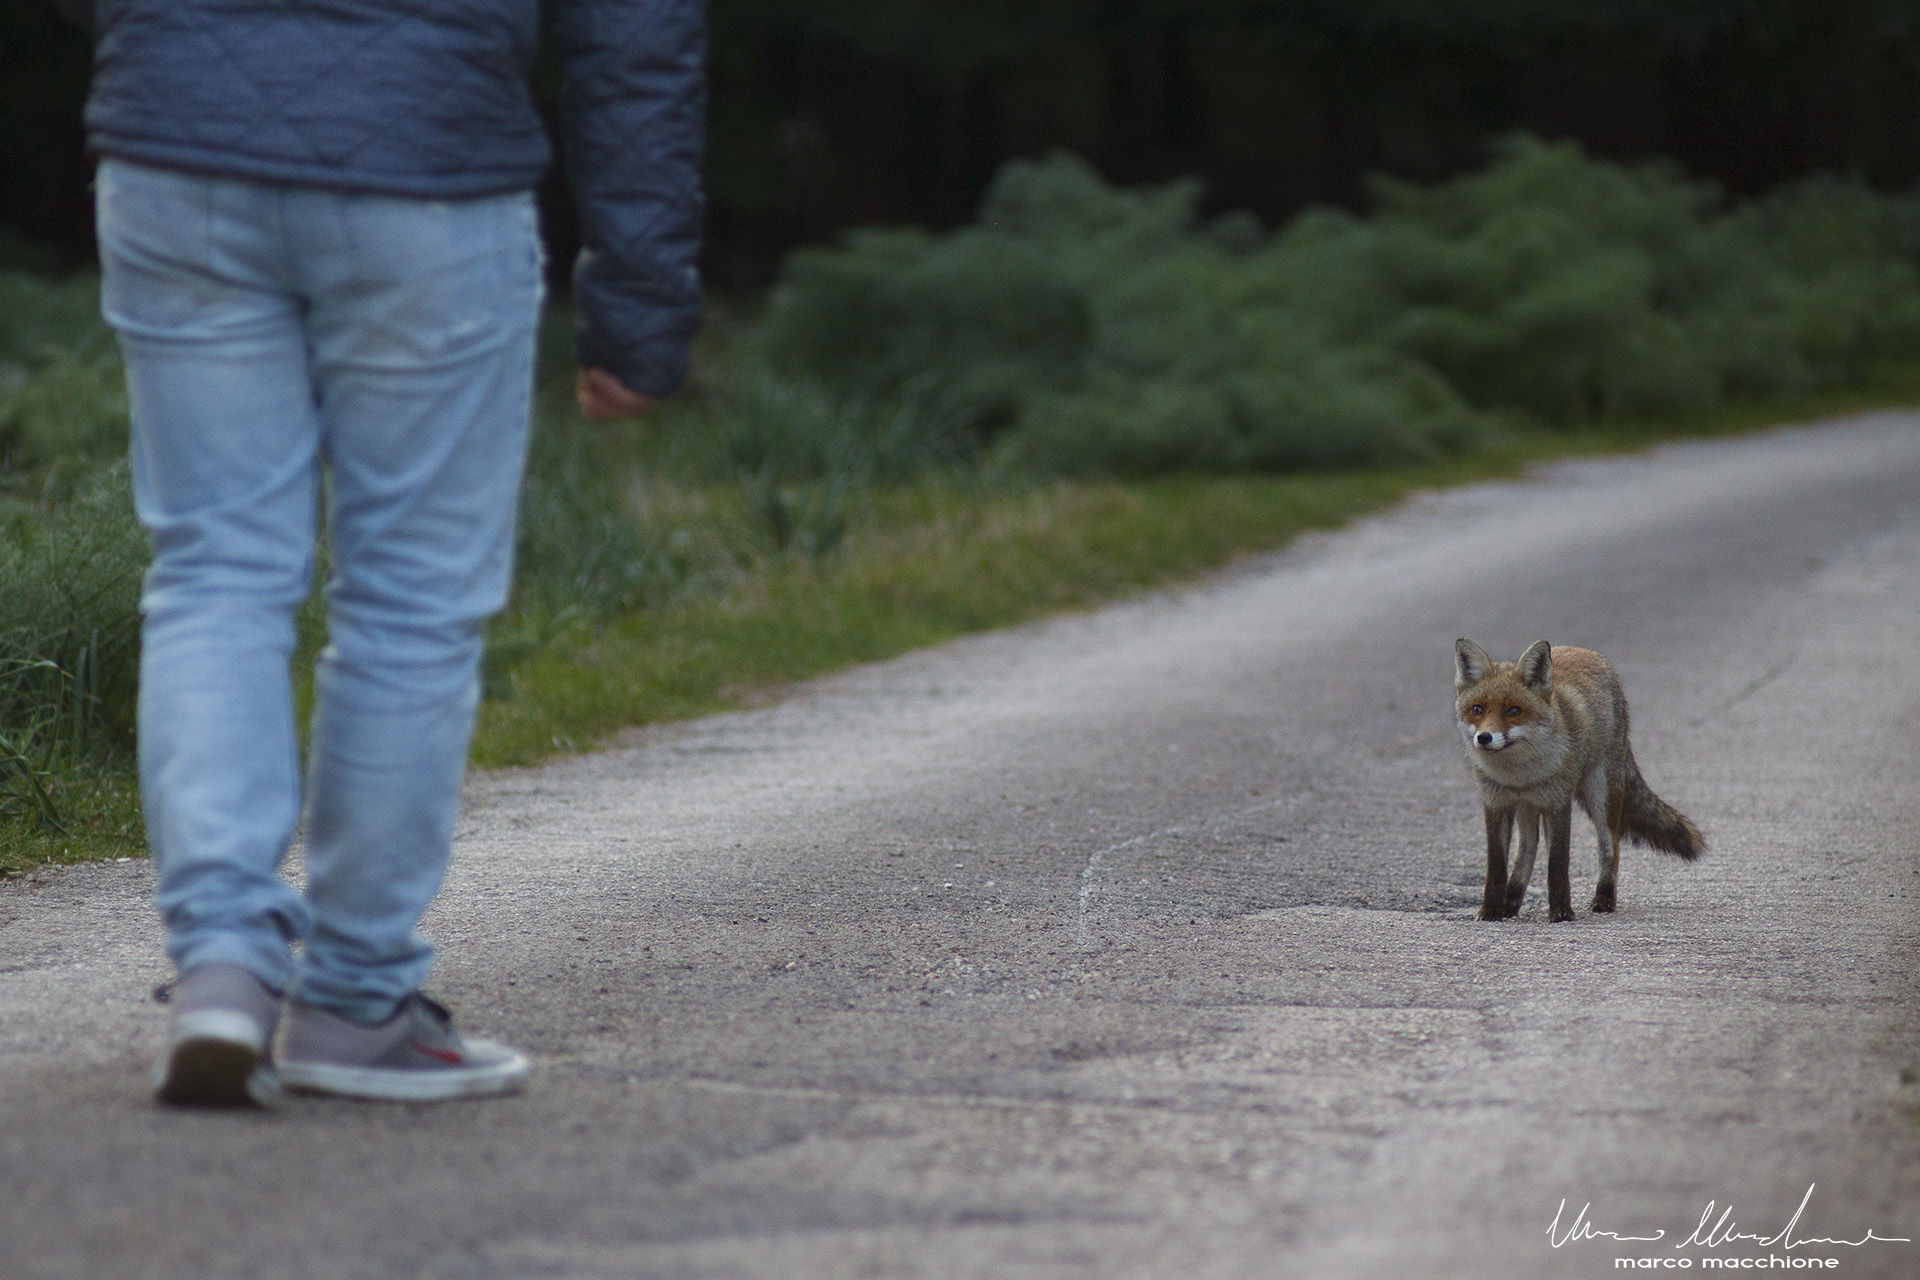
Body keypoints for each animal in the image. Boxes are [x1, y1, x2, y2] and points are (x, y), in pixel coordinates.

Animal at [1454, 639, 1703, 922]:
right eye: (1477, 709)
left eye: (1513, 711)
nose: (1484, 737)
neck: (1520, 775)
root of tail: (1589, 652)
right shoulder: (1496, 803)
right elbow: (1496, 866)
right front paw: (1489, 911)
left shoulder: (1558, 803)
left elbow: (1558, 863)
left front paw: (1561, 912)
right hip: (1529, 806)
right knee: (1527, 849)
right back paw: (1511, 903)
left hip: (1600, 795)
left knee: (1611, 847)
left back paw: (1604, 898)